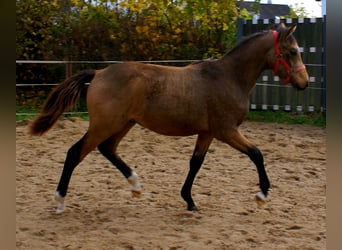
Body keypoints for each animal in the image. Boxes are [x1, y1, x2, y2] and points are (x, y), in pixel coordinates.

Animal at [29, 23, 308, 214]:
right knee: (75, 153)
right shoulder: (226, 131)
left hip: (123, 124)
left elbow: (195, 163)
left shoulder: (207, 133)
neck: (228, 77)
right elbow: (257, 154)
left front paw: (189, 201)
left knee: (107, 149)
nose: (304, 83)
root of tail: (98, 73)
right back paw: (60, 200)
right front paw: (262, 195)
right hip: (104, 125)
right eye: (293, 51)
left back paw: (136, 186)